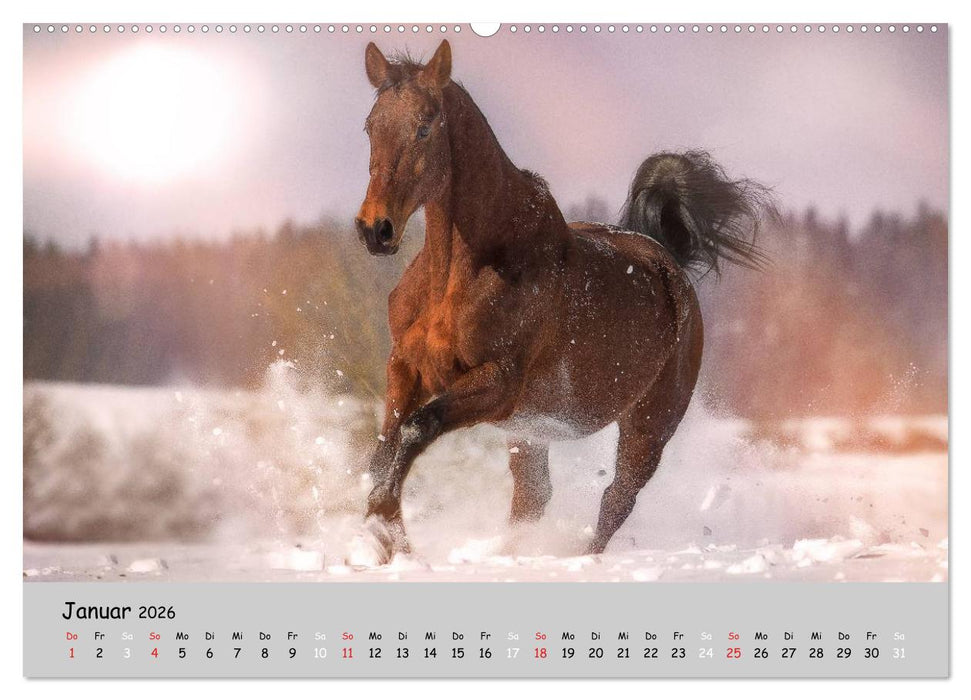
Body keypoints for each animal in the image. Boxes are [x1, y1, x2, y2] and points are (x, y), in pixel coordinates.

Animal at [353, 40, 770, 563]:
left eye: (424, 127)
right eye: (371, 126)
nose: (376, 229)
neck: (461, 270)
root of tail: (666, 260)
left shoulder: (499, 384)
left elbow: (413, 431)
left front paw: (388, 534)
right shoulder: (406, 366)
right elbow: (383, 448)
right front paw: (380, 532)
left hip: (649, 424)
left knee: (616, 498)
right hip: (531, 433)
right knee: (533, 496)